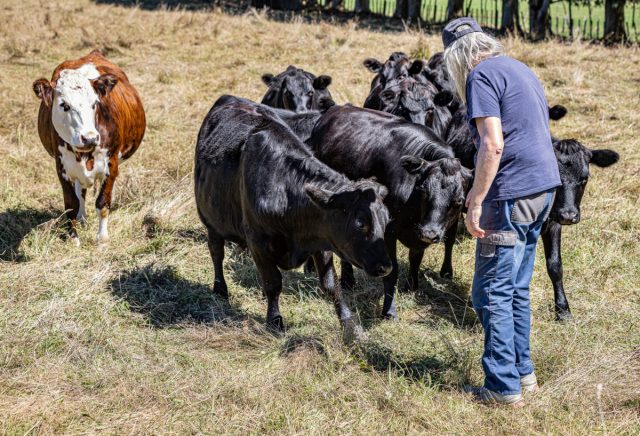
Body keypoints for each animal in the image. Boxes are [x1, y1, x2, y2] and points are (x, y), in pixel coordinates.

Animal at [32, 49, 145, 245]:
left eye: (94, 104)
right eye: (64, 105)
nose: (90, 138)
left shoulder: (111, 165)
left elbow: (103, 202)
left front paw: (102, 238)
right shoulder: (62, 168)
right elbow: (71, 204)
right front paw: (73, 238)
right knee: (81, 192)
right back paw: (82, 217)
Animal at [195, 97, 392, 338]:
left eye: (386, 221)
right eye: (360, 223)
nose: (386, 267)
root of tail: (228, 99)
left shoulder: (322, 239)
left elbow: (330, 285)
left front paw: (350, 325)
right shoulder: (257, 242)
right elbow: (273, 283)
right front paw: (274, 320)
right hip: (210, 219)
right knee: (216, 252)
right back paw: (220, 288)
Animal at [308, 104, 472, 318]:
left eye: (458, 200)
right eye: (423, 190)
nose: (429, 233)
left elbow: (416, 257)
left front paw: (412, 285)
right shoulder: (387, 231)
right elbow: (391, 271)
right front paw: (389, 310)